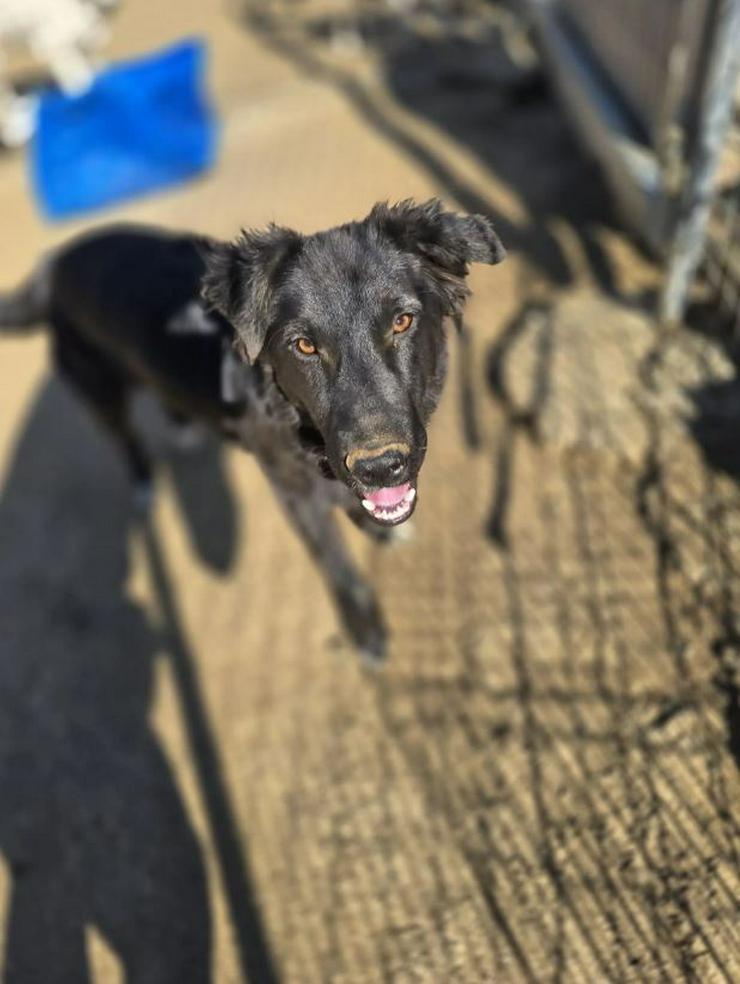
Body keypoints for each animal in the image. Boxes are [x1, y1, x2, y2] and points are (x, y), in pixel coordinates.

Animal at [0, 199, 506, 660]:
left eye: (402, 321)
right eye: (304, 346)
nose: (380, 467)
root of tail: (54, 264)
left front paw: (377, 528)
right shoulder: (294, 492)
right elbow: (339, 567)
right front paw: (366, 634)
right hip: (99, 390)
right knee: (126, 440)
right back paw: (144, 483)